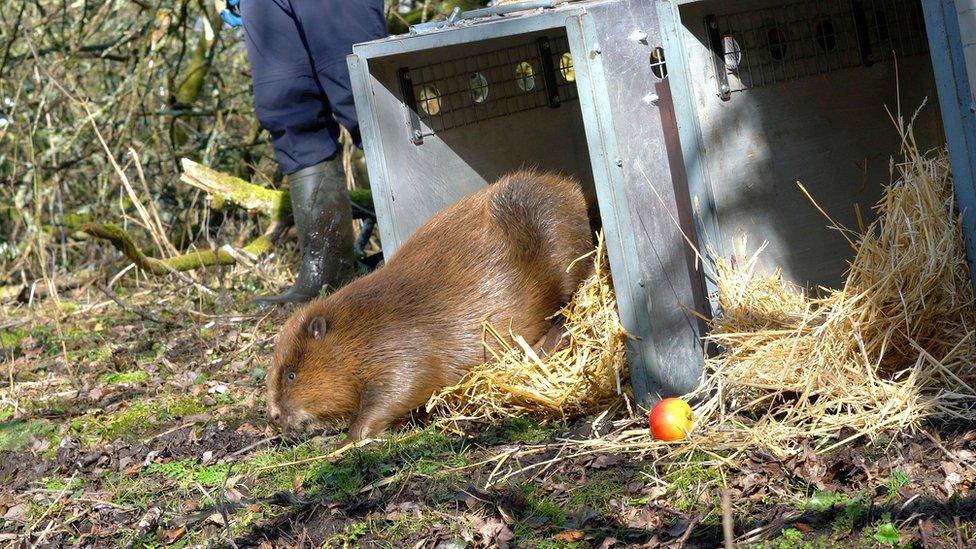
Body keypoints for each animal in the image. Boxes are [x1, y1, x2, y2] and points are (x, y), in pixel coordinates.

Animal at [266, 169, 596, 438]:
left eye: (291, 375)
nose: (276, 417)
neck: (358, 327)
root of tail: (578, 194)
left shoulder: (399, 348)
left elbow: (402, 387)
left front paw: (354, 437)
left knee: (570, 301)